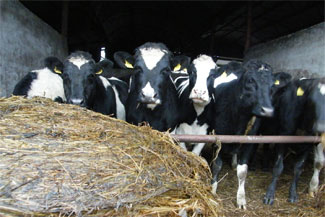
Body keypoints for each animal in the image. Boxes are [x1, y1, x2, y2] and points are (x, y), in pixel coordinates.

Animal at [205, 59, 274, 209]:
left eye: (273, 85)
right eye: (250, 80)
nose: (267, 110)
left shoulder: (250, 139)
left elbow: (243, 171)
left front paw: (241, 198)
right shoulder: (217, 136)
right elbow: (217, 165)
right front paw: (212, 189)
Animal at [260, 77, 324, 205]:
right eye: (312, 100)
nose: (321, 127)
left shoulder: (309, 142)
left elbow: (298, 168)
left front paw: (293, 193)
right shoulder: (283, 135)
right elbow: (278, 167)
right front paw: (269, 194)